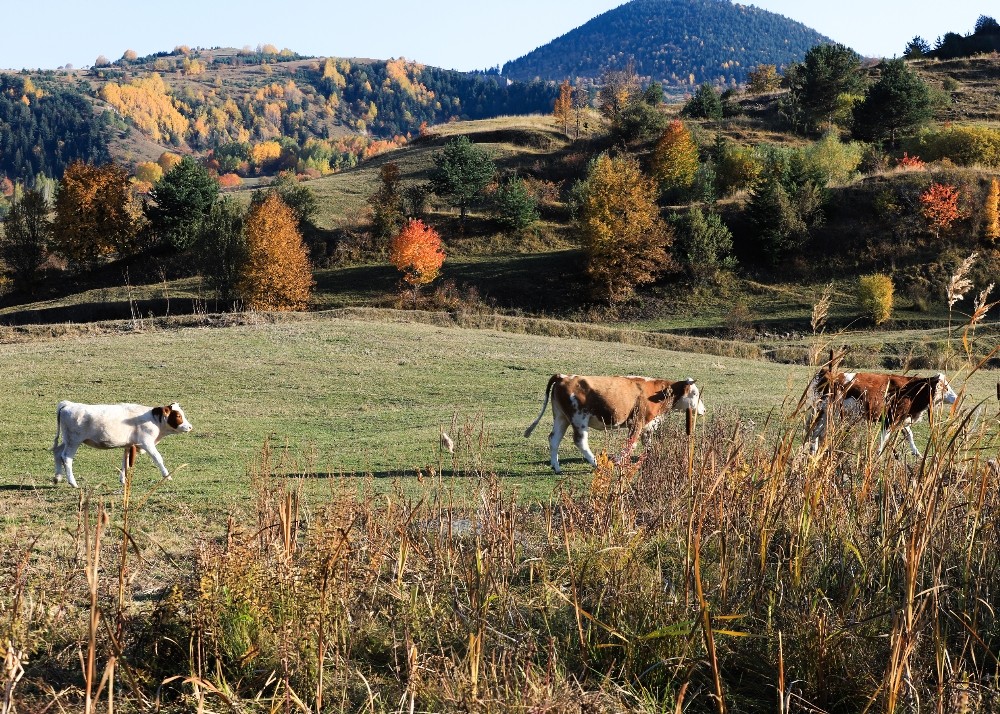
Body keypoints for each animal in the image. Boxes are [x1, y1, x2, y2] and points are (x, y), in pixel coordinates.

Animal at [53, 398, 195, 486]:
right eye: (178, 416)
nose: (190, 427)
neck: (153, 419)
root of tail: (69, 404)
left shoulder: (128, 445)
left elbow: (125, 462)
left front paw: (122, 479)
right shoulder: (146, 443)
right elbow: (158, 458)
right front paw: (167, 476)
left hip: (66, 440)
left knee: (57, 452)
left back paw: (58, 477)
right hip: (73, 441)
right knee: (66, 458)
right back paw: (73, 482)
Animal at [524, 372, 704, 472]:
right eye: (695, 393)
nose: (704, 410)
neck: (656, 393)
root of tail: (563, 377)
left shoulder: (648, 424)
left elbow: (647, 444)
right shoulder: (637, 421)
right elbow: (631, 443)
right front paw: (618, 461)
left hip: (561, 417)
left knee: (554, 439)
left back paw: (557, 467)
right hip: (579, 418)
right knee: (580, 441)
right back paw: (597, 463)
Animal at [804, 368, 960, 456]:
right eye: (946, 387)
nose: (957, 398)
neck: (914, 390)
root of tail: (827, 373)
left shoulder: (902, 418)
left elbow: (909, 435)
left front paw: (917, 453)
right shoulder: (891, 418)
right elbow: (884, 438)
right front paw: (878, 454)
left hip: (825, 413)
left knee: (816, 432)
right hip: (828, 412)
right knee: (815, 432)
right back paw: (813, 451)